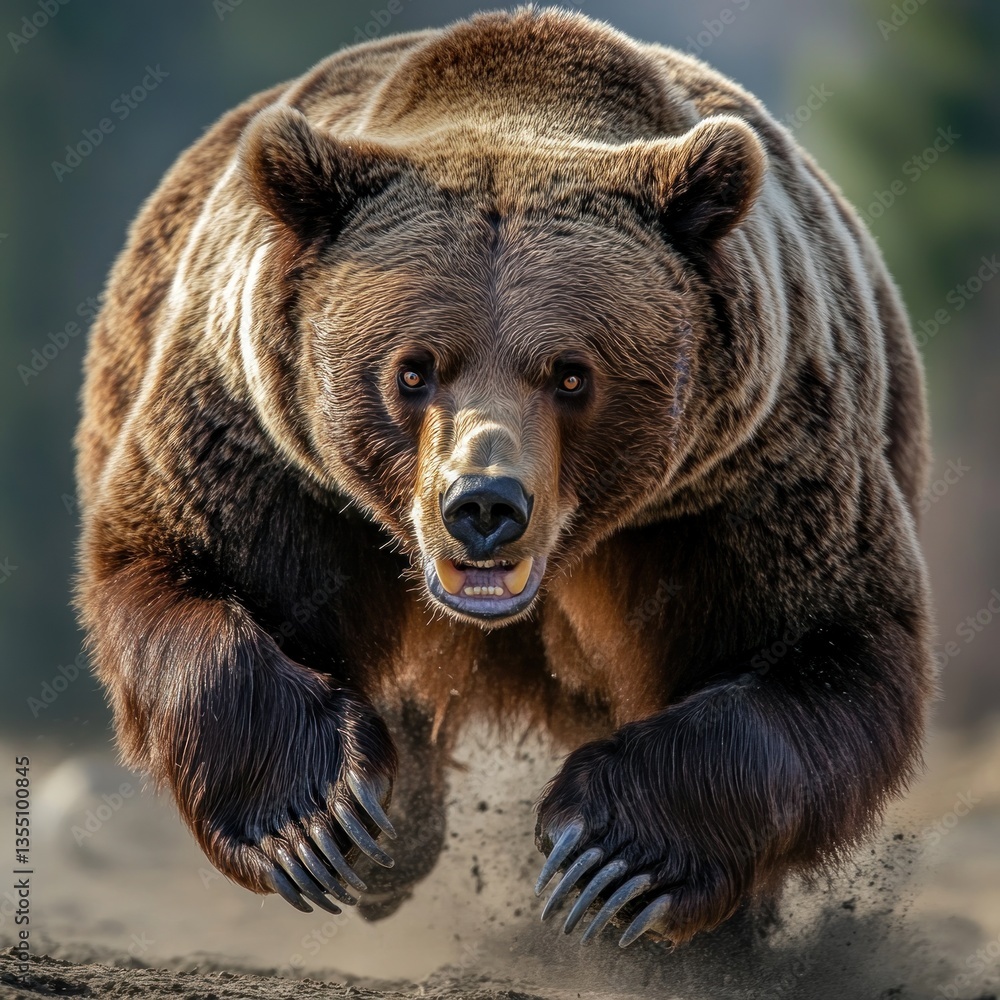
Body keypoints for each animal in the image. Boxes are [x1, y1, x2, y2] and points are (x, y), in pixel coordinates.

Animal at [75, 7, 934, 947]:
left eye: (572, 374)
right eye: (413, 369)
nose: (483, 505)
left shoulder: (747, 475)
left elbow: (819, 649)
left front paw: (608, 857)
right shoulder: (266, 439)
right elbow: (196, 577)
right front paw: (317, 822)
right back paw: (392, 844)